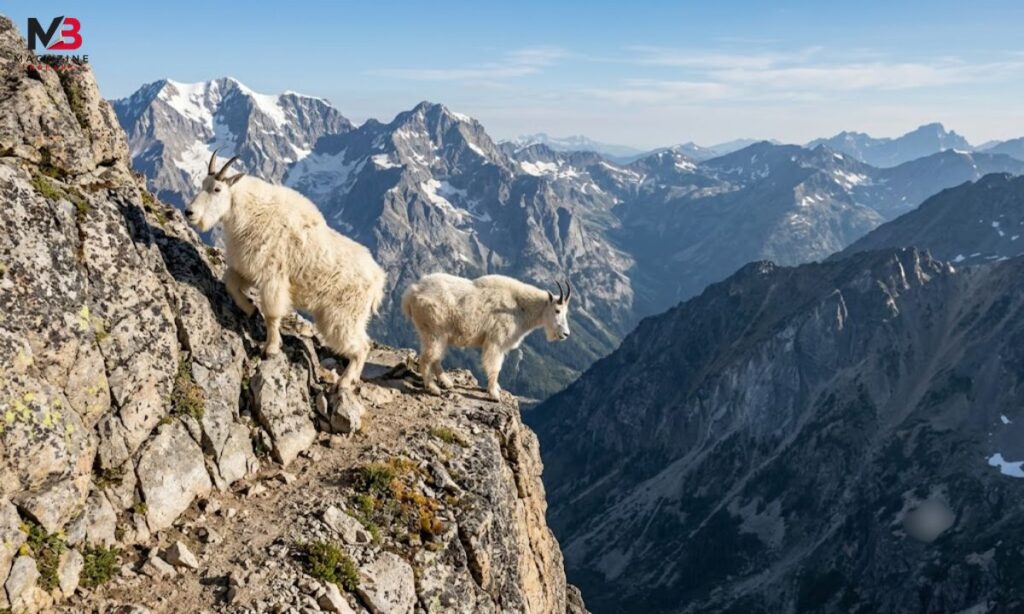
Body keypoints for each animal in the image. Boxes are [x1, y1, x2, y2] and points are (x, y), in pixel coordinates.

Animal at [186, 152, 386, 390]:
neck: (249, 212)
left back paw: (345, 383)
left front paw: (271, 348)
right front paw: (249, 308)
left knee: (362, 346)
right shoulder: (248, 269)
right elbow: (230, 284)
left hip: (342, 315)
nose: (189, 212)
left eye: (217, 189)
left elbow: (272, 314)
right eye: (202, 184)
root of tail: (378, 282)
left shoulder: (273, 278)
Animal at [401, 273, 572, 400]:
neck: (518, 306)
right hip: (434, 331)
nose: (565, 334)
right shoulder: (496, 341)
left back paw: (447, 382)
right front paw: (494, 394)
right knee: (426, 359)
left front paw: (496, 388)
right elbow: (495, 366)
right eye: (557, 310)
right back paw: (433, 388)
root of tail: (412, 292)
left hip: (434, 333)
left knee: (435, 358)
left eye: (566, 312)